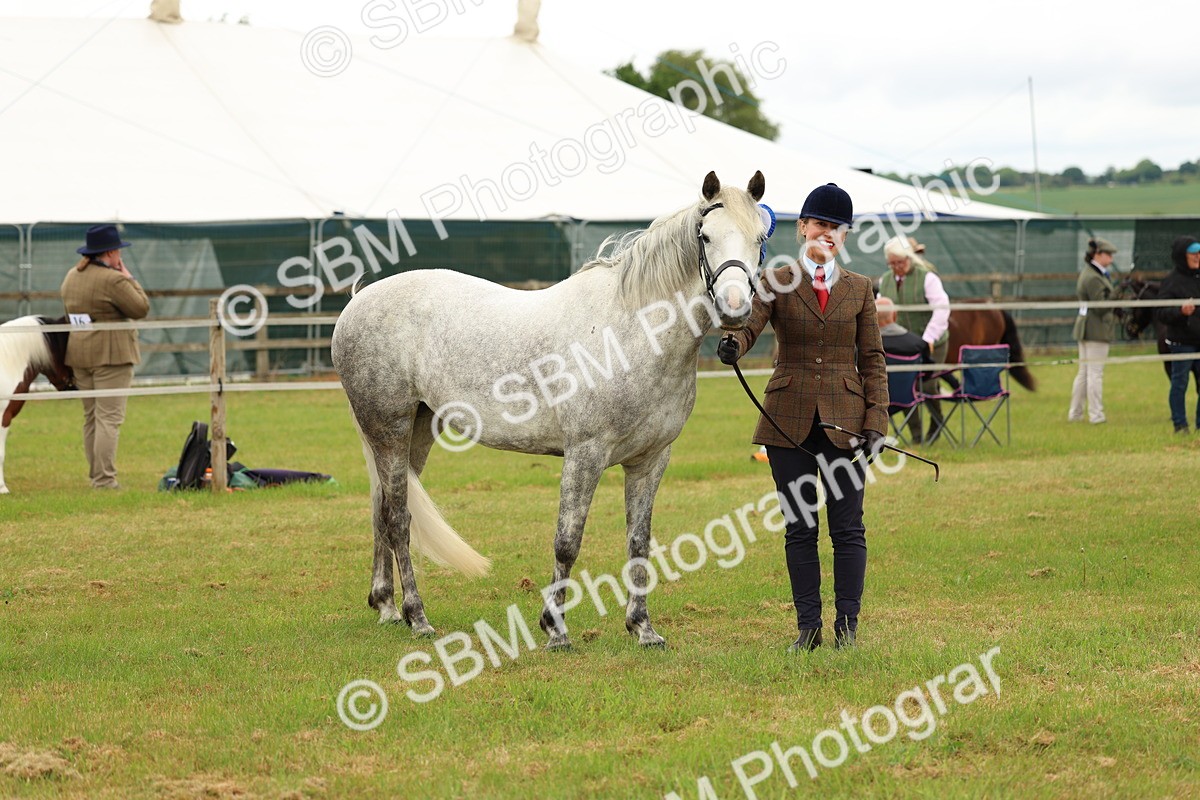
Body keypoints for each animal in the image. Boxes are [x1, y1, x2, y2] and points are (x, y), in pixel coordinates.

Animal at [332, 171, 765, 650]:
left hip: (418, 430)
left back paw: (387, 606)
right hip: (389, 428)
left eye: (760, 238)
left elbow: (638, 543)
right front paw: (555, 628)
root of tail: (357, 301)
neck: (629, 333)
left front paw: (643, 628)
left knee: (382, 510)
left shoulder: (650, 460)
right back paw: (416, 615)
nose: (735, 308)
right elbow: (567, 541)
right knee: (398, 518)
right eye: (705, 237)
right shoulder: (584, 454)